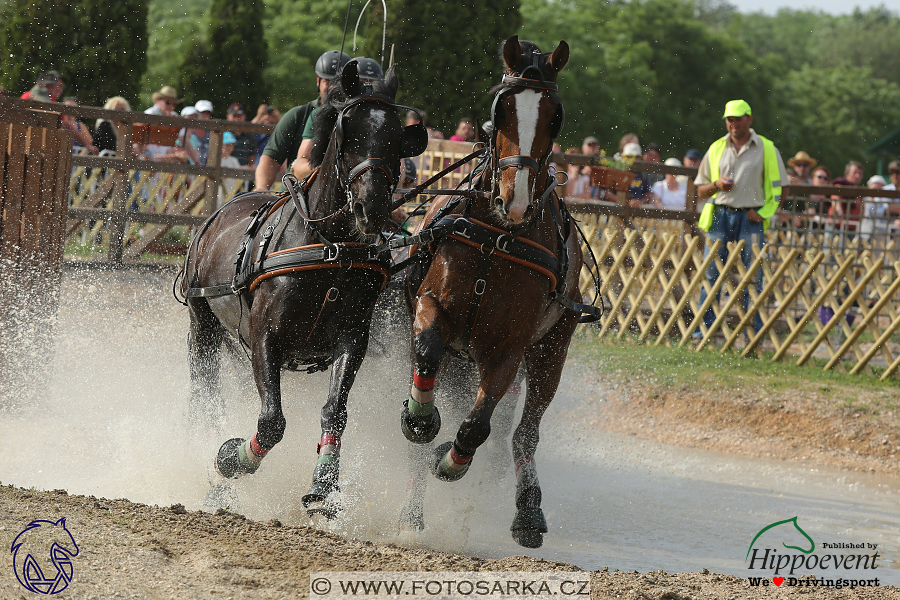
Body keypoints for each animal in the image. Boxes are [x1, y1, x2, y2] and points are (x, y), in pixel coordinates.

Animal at [180, 63, 428, 516]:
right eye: (348, 132)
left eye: (395, 139)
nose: (371, 208)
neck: (329, 246)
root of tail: (220, 212)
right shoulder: (264, 336)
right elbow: (271, 422)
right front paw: (228, 460)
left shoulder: (352, 338)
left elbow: (334, 412)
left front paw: (323, 486)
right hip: (202, 320)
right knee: (204, 393)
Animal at [400, 34, 584, 548]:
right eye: (501, 109)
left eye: (555, 115)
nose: (515, 198)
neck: (499, 235)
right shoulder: (429, 306)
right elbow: (426, 352)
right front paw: (421, 419)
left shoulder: (508, 348)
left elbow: (478, 426)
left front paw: (450, 460)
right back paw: (412, 515)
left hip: (551, 351)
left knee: (523, 434)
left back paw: (528, 510)